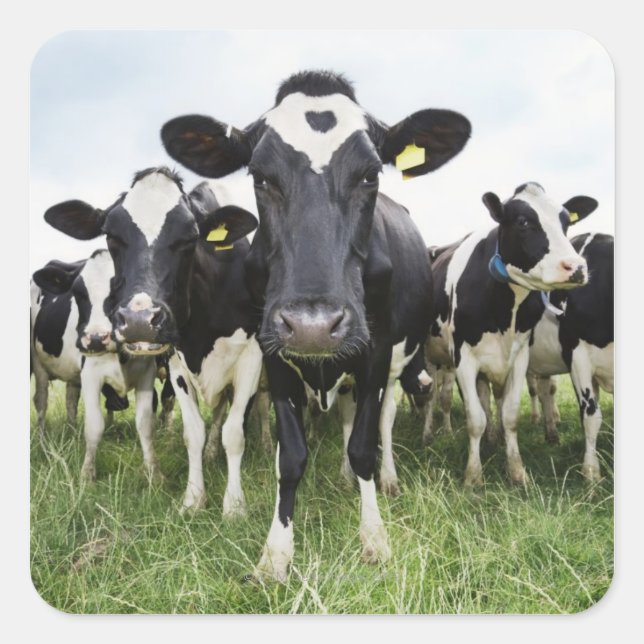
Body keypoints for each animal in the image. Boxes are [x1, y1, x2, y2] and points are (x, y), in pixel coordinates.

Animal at [32, 249, 161, 481]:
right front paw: (87, 474)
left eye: (121, 287)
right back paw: (42, 443)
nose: (95, 338)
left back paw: (72, 434)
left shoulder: (147, 373)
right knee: (41, 401)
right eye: (78, 292)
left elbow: (146, 424)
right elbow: (94, 426)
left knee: (71, 400)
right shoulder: (91, 374)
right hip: (39, 364)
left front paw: (153, 473)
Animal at [160, 69, 471, 581]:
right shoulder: (272, 352)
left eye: (370, 174)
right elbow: (291, 456)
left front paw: (374, 538)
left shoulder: (375, 351)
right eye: (260, 176)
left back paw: (384, 480)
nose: (313, 326)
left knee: (381, 422)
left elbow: (363, 445)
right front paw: (276, 553)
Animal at [427, 182, 597, 487]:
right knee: (430, 396)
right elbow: (475, 419)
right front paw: (473, 476)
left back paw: (492, 439)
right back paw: (429, 433)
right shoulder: (462, 358)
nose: (576, 267)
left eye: (566, 222)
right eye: (522, 222)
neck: (503, 310)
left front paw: (516, 471)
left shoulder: (518, 357)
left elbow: (509, 414)